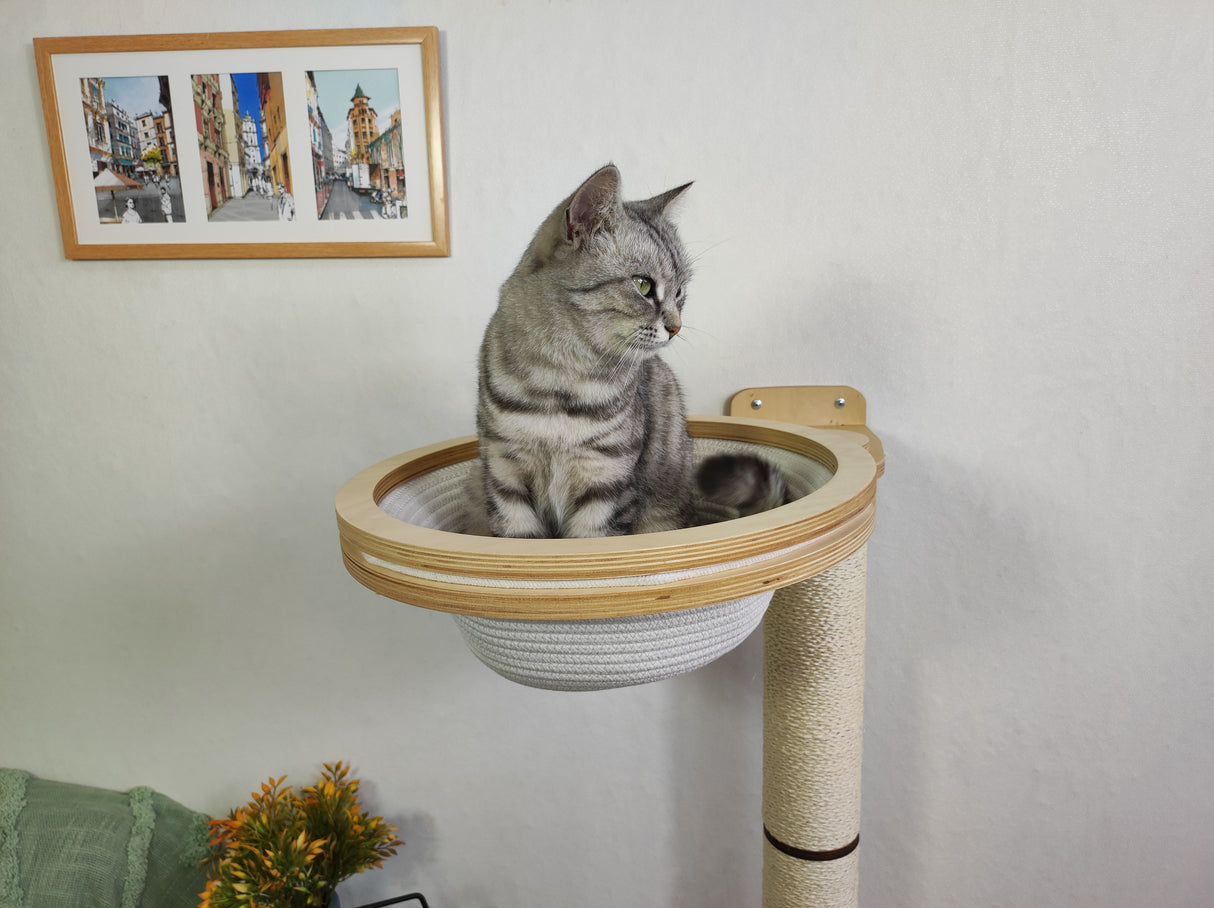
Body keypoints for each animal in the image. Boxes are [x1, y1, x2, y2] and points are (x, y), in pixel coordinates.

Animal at [463, 163, 786, 538]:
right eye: (643, 285)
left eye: (680, 292)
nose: (677, 327)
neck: (562, 376)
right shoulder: (504, 473)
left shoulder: (606, 481)